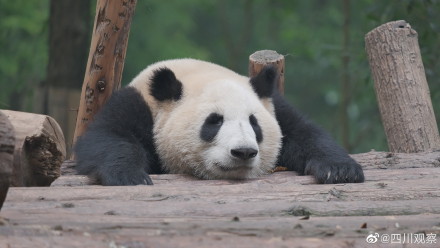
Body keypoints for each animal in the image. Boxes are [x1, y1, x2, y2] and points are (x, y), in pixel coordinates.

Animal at [75, 58, 364, 186]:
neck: (192, 72)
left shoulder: (276, 107)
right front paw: (130, 176)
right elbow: (109, 137)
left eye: (254, 124)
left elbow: (305, 134)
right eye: (213, 122)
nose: (243, 152)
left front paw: (339, 170)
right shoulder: (138, 104)